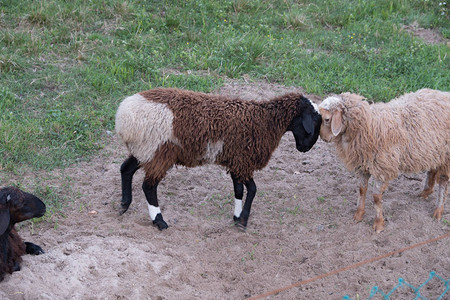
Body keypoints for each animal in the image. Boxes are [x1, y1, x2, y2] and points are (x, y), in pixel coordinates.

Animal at [114, 88, 322, 231]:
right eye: (314, 123)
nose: (305, 149)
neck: (266, 122)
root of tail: (124, 118)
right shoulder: (244, 161)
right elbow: (253, 190)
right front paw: (243, 220)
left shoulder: (237, 162)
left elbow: (238, 190)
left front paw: (237, 217)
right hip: (159, 151)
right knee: (148, 186)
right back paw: (159, 220)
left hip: (145, 151)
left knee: (126, 169)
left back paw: (124, 204)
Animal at [318, 88, 450, 233]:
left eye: (327, 119)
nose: (323, 138)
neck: (369, 126)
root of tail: (445, 94)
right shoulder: (363, 165)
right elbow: (362, 189)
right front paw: (358, 215)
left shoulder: (382, 168)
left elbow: (376, 197)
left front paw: (378, 223)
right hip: (433, 150)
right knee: (432, 169)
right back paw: (426, 191)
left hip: (446, 155)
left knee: (443, 182)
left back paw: (438, 211)